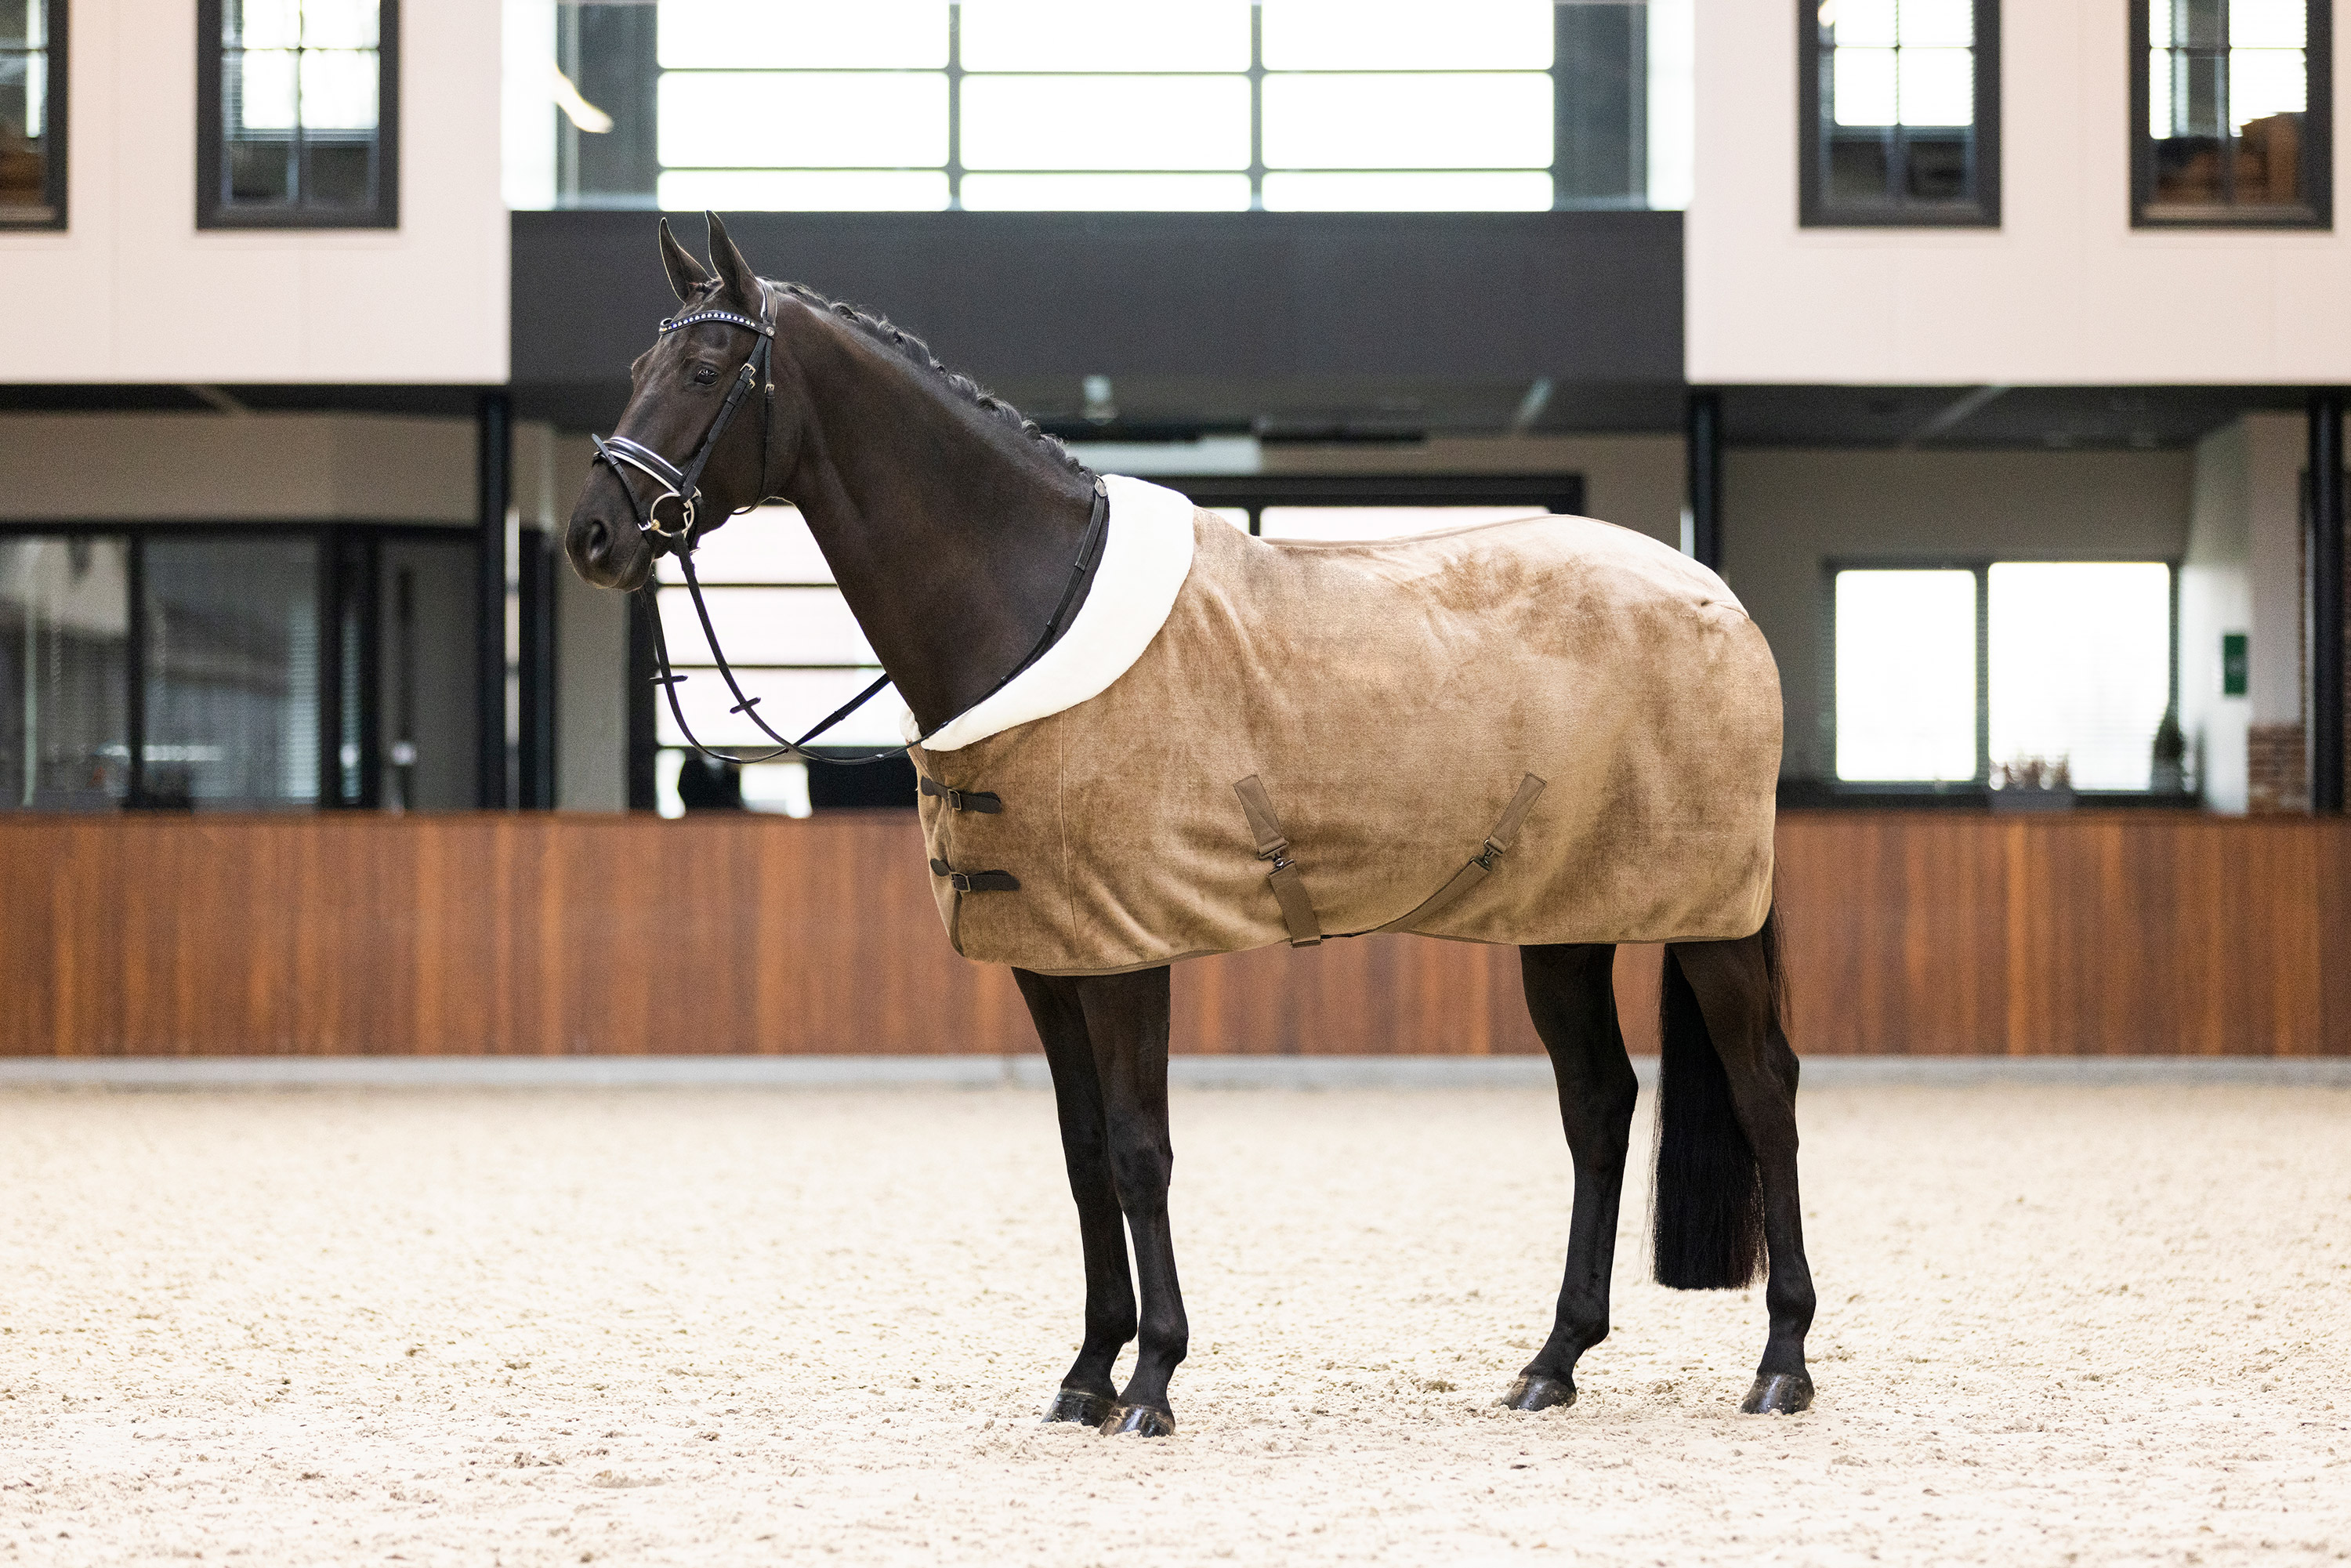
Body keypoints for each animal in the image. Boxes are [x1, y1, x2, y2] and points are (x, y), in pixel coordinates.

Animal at [569, 215, 1815, 1439]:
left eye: (704, 371)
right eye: (632, 368)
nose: (592, 536)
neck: (1037, 599)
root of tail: (1722, 601)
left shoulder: (1128, 948)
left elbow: (1139, 1149)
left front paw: (1152, 1380)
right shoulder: (1050, 956)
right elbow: (1082, 1155)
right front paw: (1087, 1373)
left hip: (1704, 921)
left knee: (1764, 1088)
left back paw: (1781, 1363)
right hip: (1562, 925)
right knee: (1599, 1106)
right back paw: (1554, 1362)